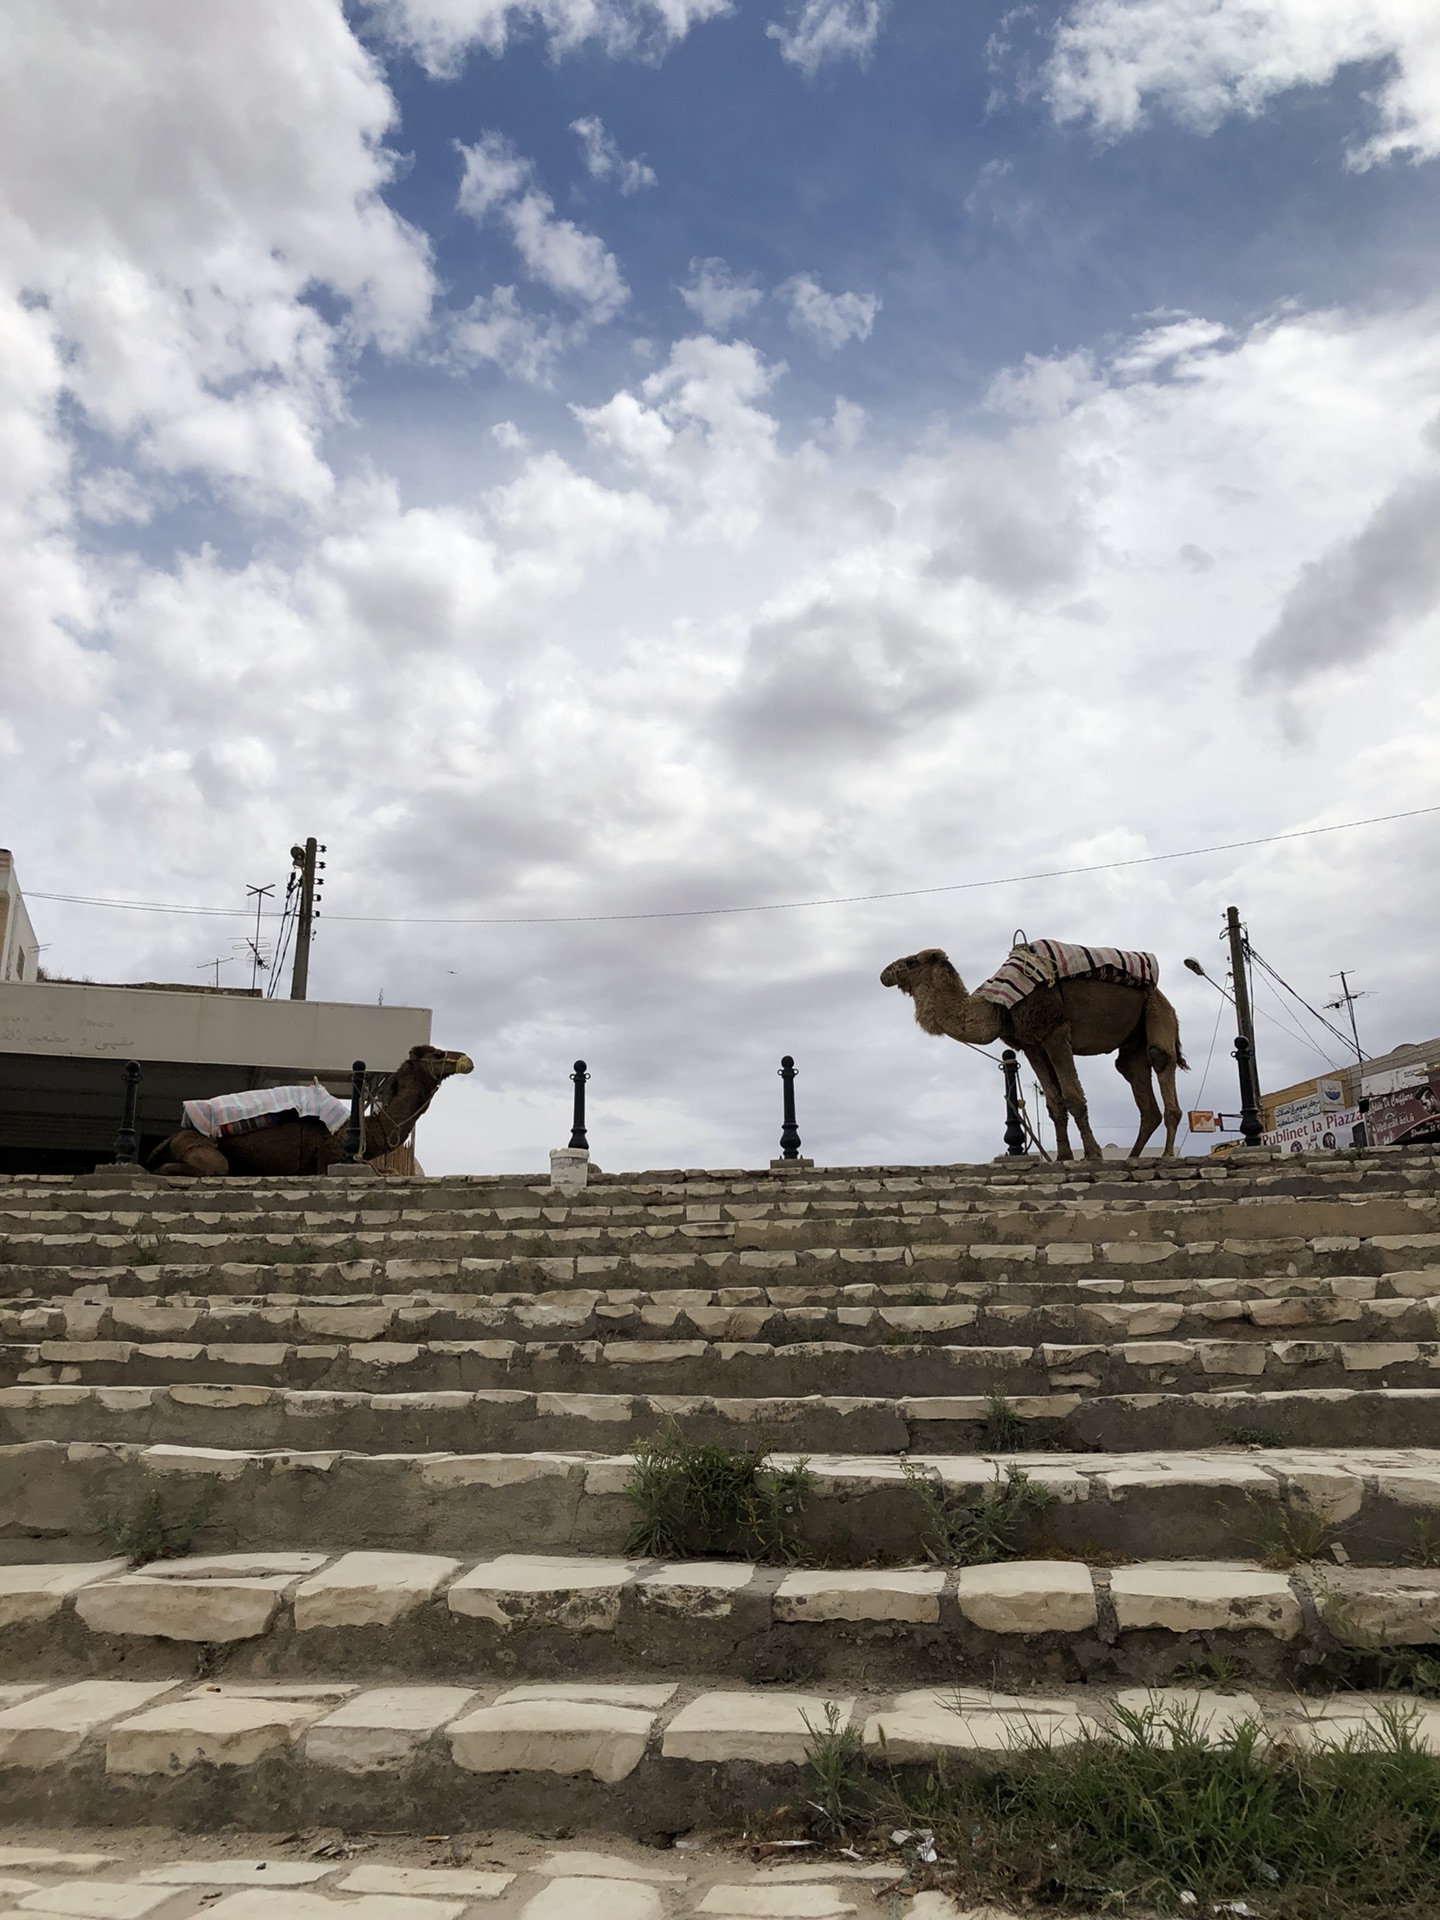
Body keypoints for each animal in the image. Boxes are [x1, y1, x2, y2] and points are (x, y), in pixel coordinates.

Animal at [150, 1044, 474, 1175]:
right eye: (437, 1054)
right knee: (212, 1167)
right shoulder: (330, 1156)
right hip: (200, 1146)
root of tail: (174, 1135)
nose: (466, 1059)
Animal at [887, 952, 1190, 1159]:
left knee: (1161, 1059)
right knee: (1135, 1080)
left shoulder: (1055, 1031)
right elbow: (1054, 1102)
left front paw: (1092, 1155)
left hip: (1157, 1011)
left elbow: (1073, 1096)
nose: (885, 973)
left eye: (912, 961)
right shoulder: (1030, 1044)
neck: (999, 1006)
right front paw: (1064, 1157)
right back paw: (1132, 1157)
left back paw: (1165, 1155)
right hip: (1132, 1042)